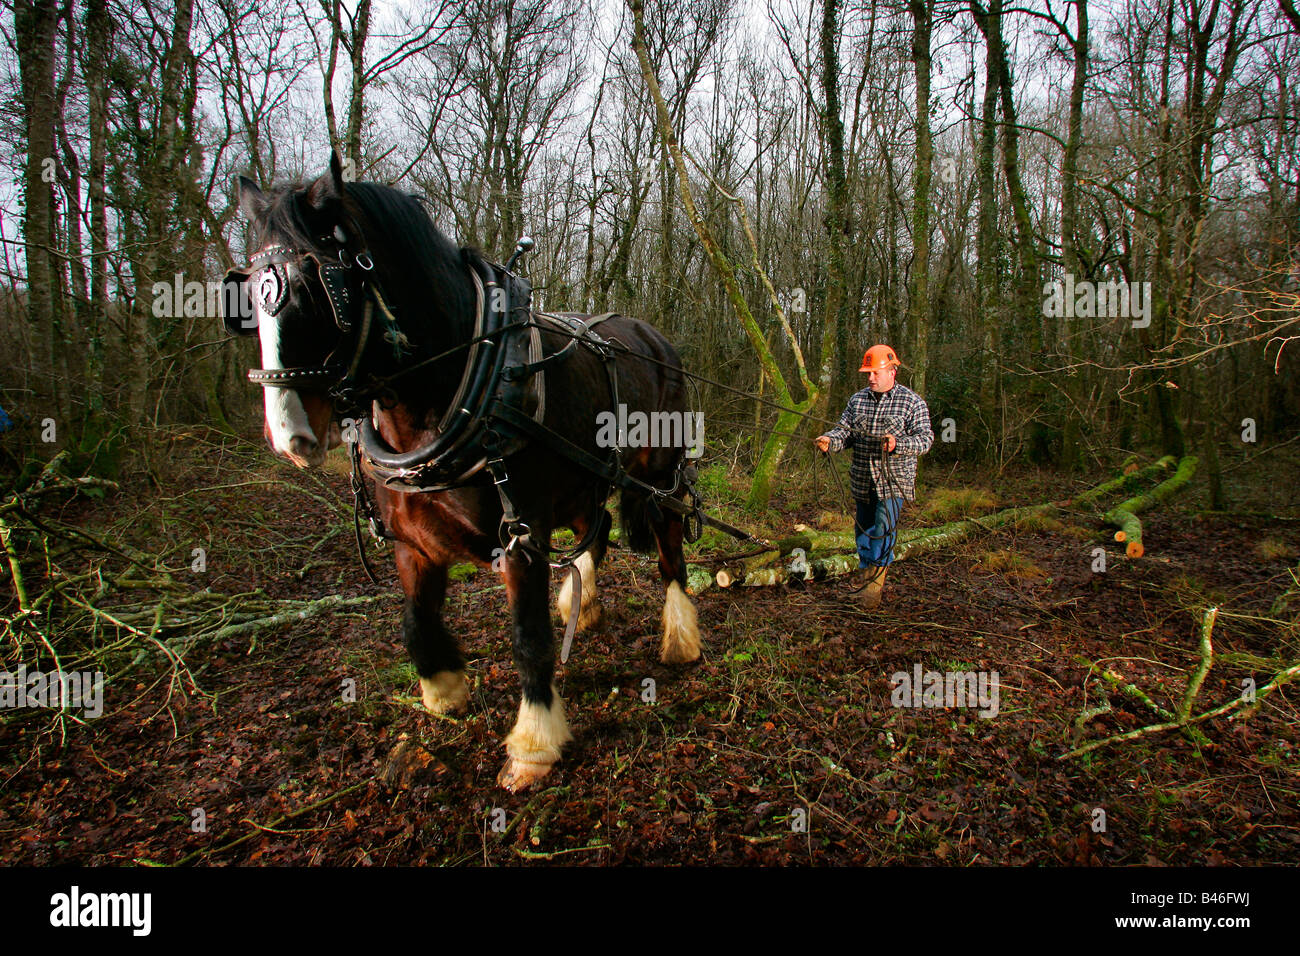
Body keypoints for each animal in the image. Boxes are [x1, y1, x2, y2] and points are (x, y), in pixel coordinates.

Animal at [222, 154, 702, 790]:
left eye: (320, 286)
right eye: (248, 295)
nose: (287, 433)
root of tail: (654, 337)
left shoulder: (520, 539)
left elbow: (528, 639)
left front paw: (533, 743)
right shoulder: (413, 546)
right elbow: (415, 622)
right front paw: (444, 688)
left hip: (660, 474)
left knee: (670, 545)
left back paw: (680, 634)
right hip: (588, 476)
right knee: (594, 531)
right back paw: (582, 605)